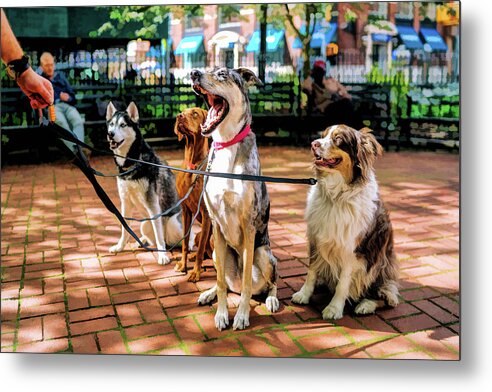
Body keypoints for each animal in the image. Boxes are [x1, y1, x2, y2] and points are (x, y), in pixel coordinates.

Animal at [190, 68, 278, 330]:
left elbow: (248, 282)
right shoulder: (216, 225)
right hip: (216, 251)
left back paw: (271, 300)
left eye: (221, 74)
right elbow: (220, 283)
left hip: (264, 253)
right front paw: (221, 314)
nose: (193, 73)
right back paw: (207, 293)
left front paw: (241, 316)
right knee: (227, 284)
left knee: (269, 284)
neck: (226, 144)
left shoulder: (249, 226)